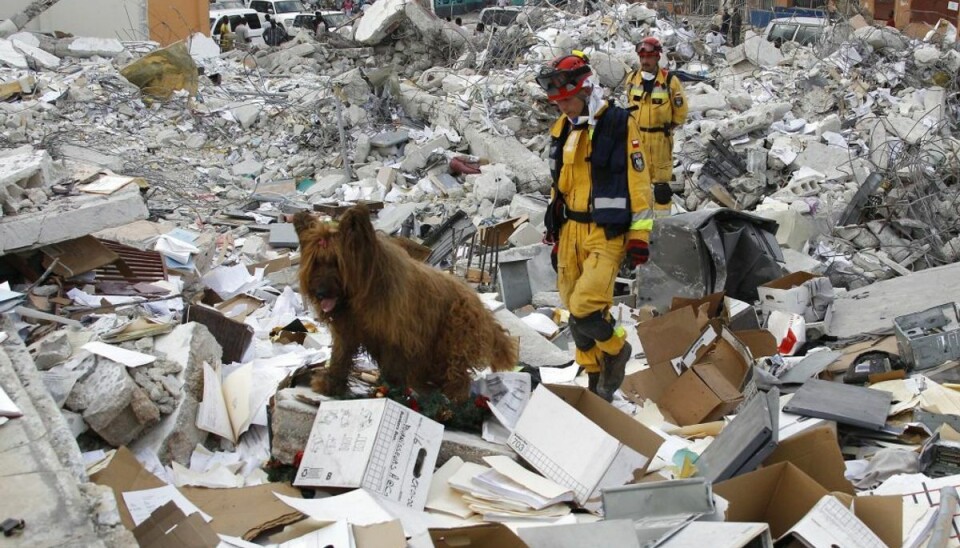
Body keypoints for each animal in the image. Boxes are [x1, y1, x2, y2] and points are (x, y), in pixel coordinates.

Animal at [294, 206, 516, 402]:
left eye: (336, 262)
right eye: (316, 262)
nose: (320, 293)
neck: (364, 293)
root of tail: (477, 300)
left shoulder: (396, 336)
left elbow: (392, 367)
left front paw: (387, 392)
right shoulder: (348, 330)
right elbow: (340, 357)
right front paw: (331, 385)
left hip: (452, 340)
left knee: (457, 375)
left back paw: (453, 400)